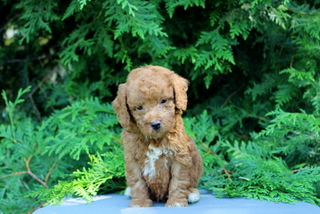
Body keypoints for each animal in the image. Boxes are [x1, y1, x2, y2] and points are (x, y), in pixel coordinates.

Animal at [112, 65, 202, 207]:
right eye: (139, 108)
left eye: (163, 101)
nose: (155, 124)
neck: (155, 139)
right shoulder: (132, 159)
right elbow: (137, 182)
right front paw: (140, 203)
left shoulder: (180, 157)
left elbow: (178, 181)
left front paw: (176, 202)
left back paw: (192, 194)